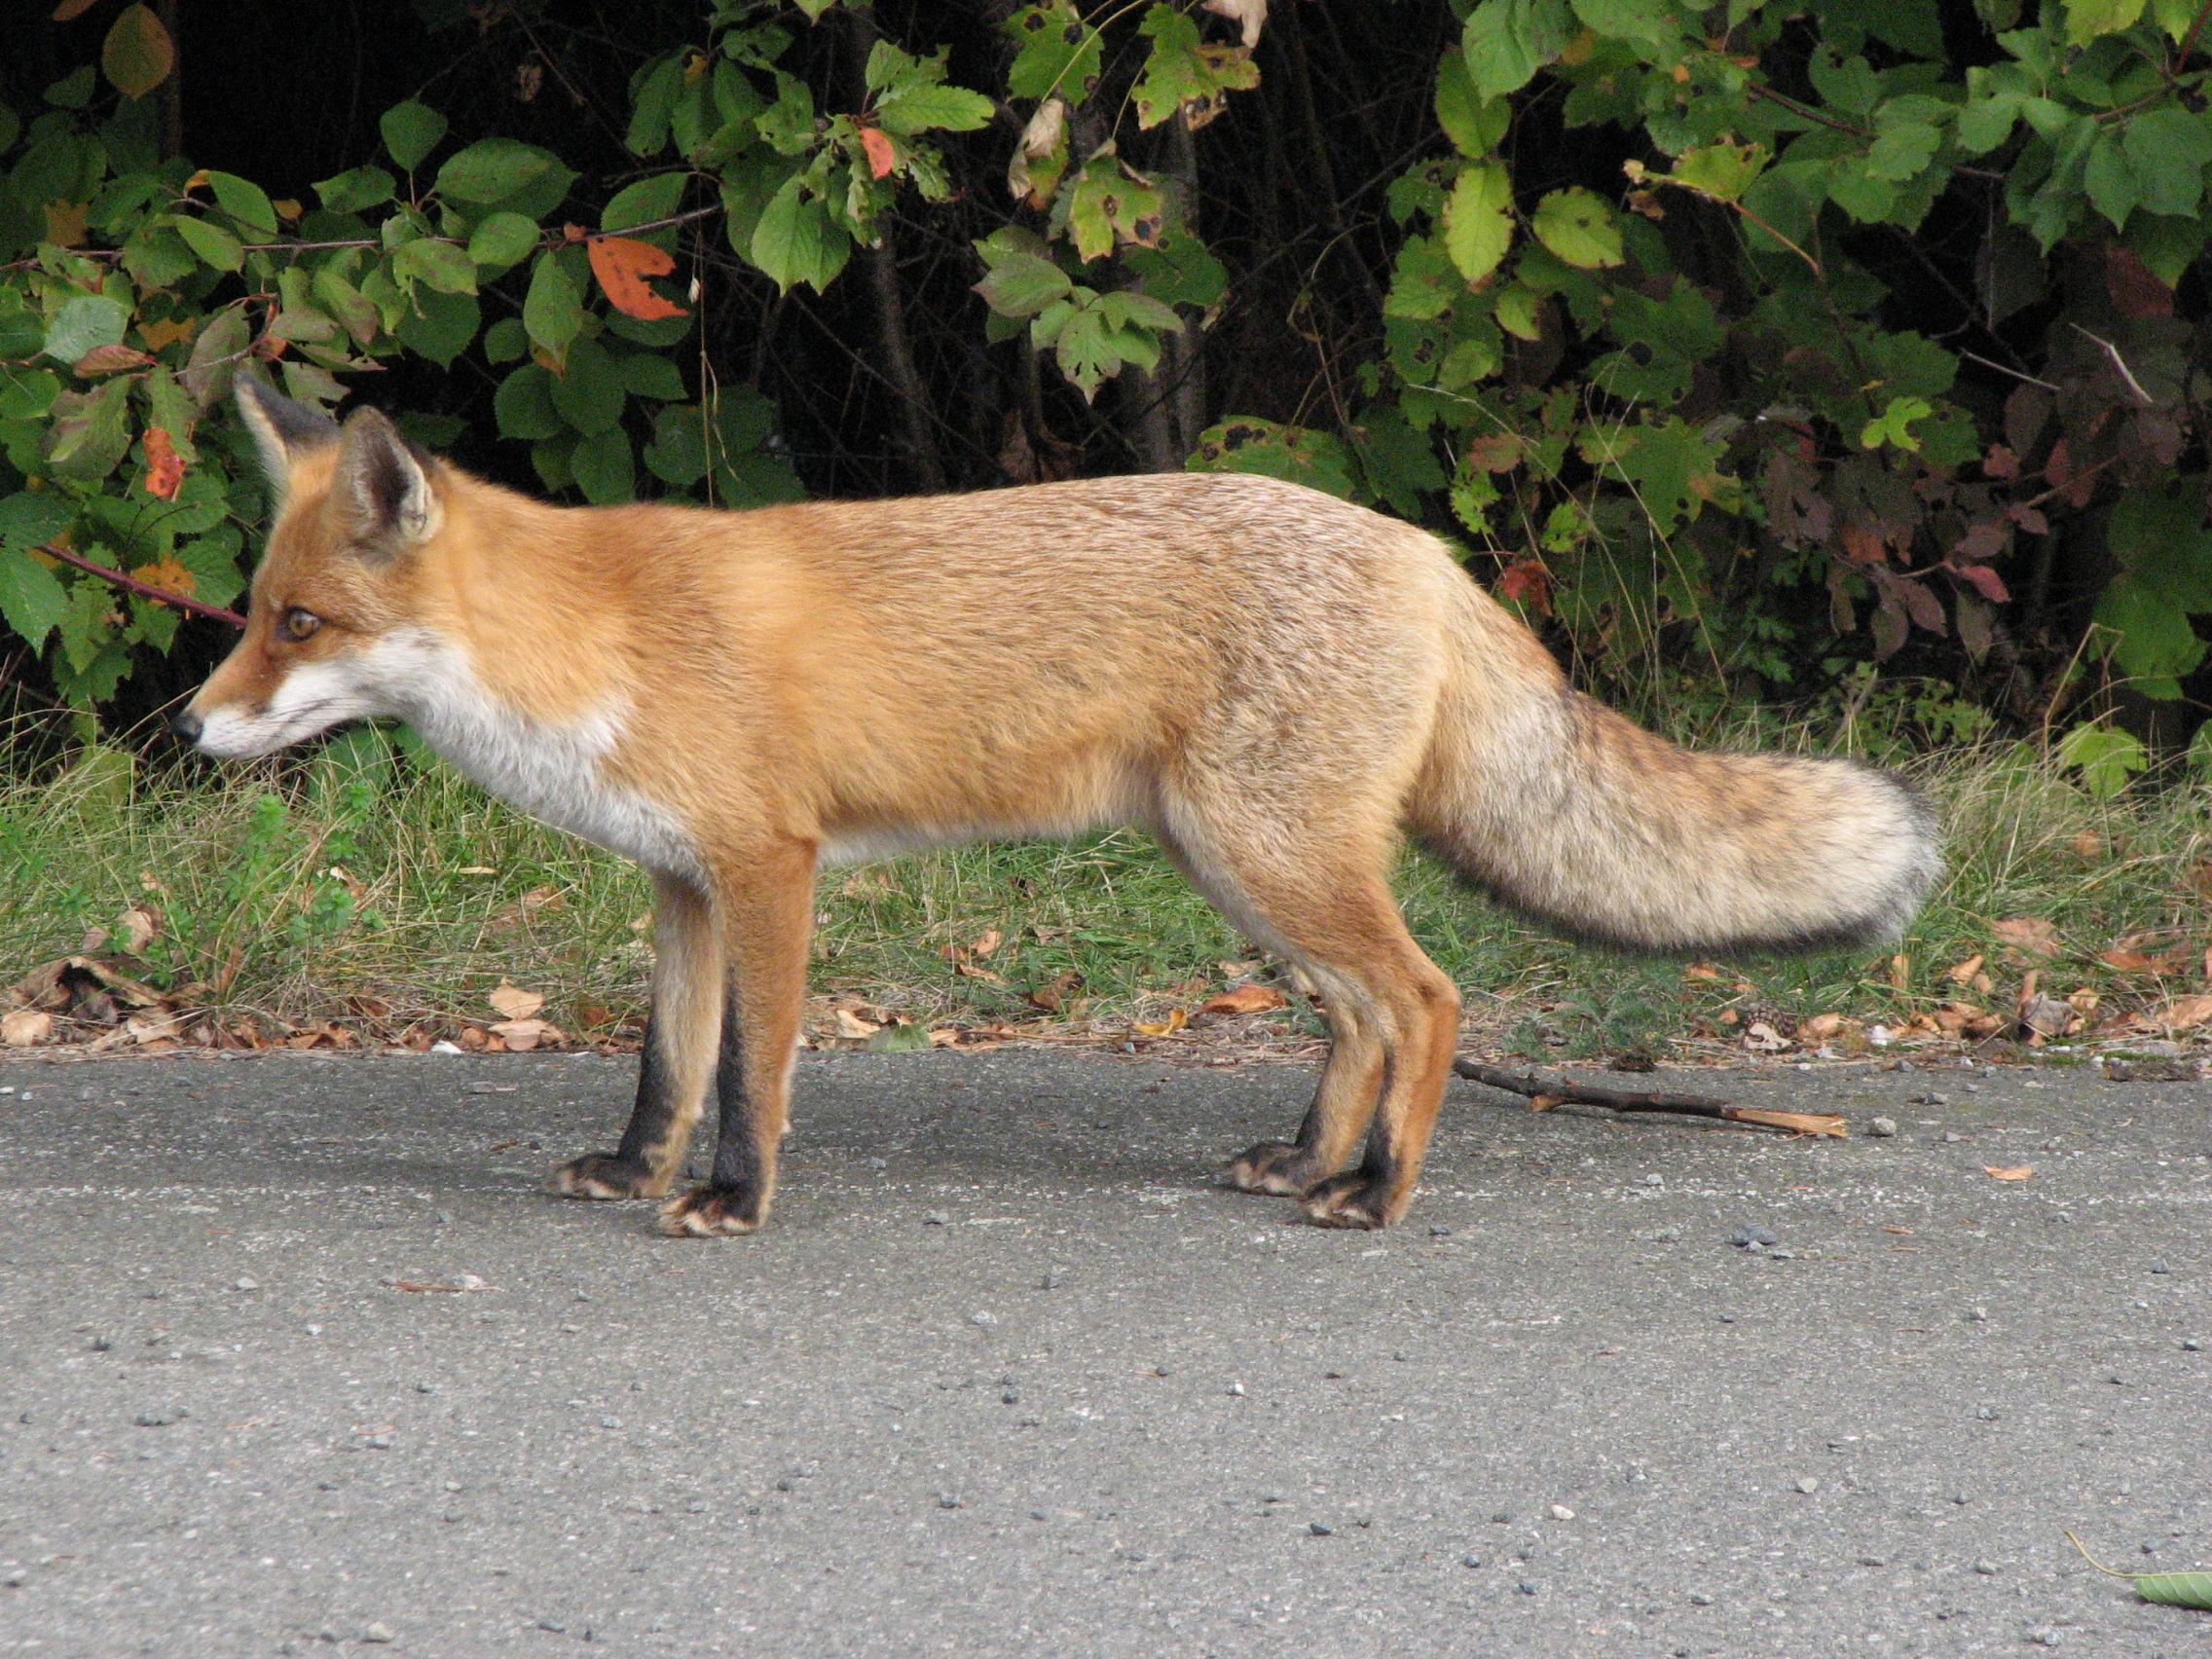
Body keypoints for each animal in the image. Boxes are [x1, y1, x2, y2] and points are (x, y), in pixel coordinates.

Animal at [176, 380, 1937, 1238]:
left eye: (299, 625)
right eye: (253, 611)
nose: (189, 723)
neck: (596, 639)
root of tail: (1422, 548)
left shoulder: (769, 867)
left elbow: (750, 1074)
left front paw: (732, 1200)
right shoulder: (680, 883)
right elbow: (664, 1064)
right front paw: (628, 1172)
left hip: (1269, 857)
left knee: (1428, 999)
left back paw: (1374, 1194)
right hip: (1235, 861)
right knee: (1360, 1016)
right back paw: (1309, 1160)